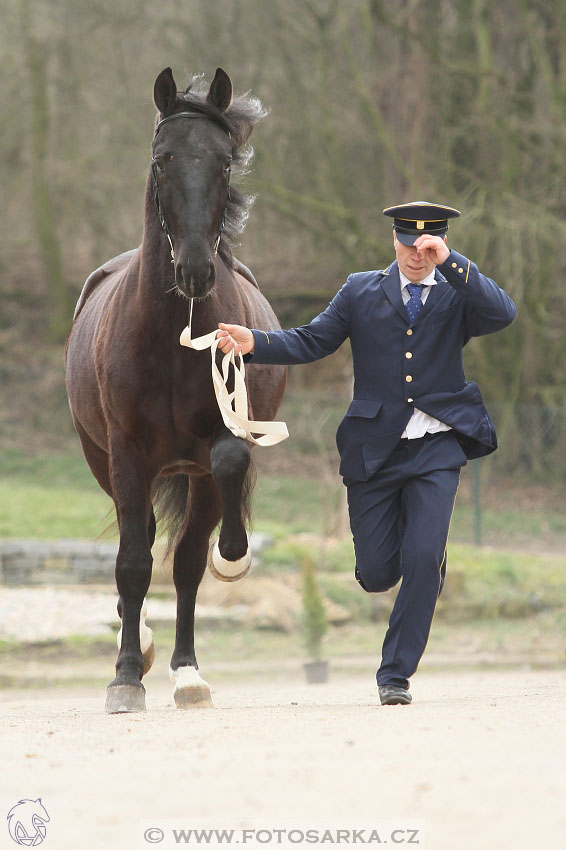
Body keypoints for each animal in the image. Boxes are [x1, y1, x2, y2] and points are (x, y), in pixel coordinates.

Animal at [66, 68, 286, 708]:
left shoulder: (216, 442)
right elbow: (134, 562)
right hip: (105, 461)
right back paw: (137, 647)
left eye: (224, 163)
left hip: (190, 473)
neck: (171, 334)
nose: (193, 272)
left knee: (183, 553)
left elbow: (194, 550)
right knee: (135, 540)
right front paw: (123, 677)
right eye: (161, 160)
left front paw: (232, 561)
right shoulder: (126, 453)